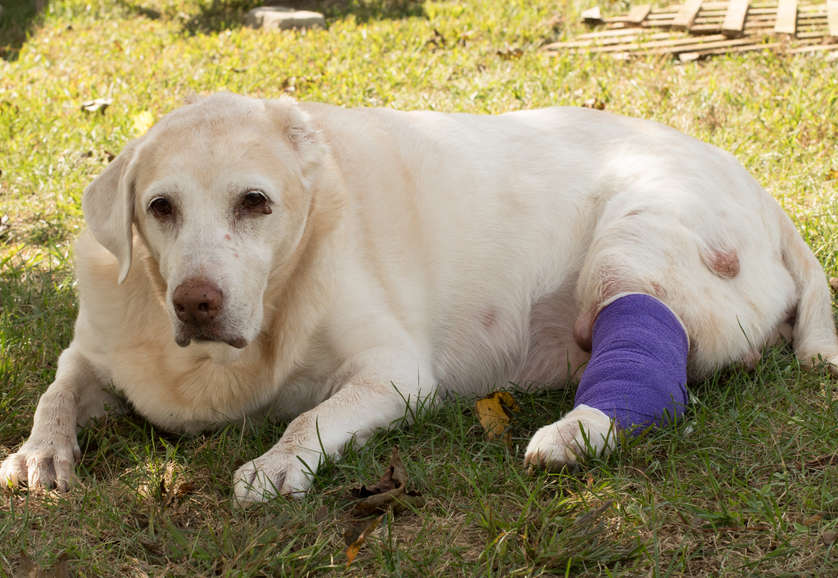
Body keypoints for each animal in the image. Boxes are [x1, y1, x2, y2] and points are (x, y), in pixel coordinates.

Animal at [4, 92, 838, 502]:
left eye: (255, 203)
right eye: (160, 208)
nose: (195, 303)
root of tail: (765, 196)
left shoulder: (393, 376)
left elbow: (311, 417)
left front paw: (276, 466)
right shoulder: (95, 351)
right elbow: (56, 390)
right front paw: (41, 452)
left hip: (629, 245)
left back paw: (573, 435)